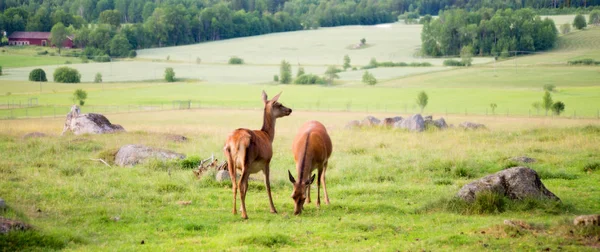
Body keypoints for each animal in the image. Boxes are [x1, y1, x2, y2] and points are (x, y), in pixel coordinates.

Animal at [223, 90, 292, 219]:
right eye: (279, 104)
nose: (290, 110)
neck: (268, 136)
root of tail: (233, 143)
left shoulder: (247, 169)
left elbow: (247, 185)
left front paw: (241, 208)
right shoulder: (267, 162)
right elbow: (267, 185)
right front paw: (273, 209)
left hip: (231, 162)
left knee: (234, 183)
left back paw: (234, 211)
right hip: (246, 160)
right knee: (239, 183)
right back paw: (245, 215)